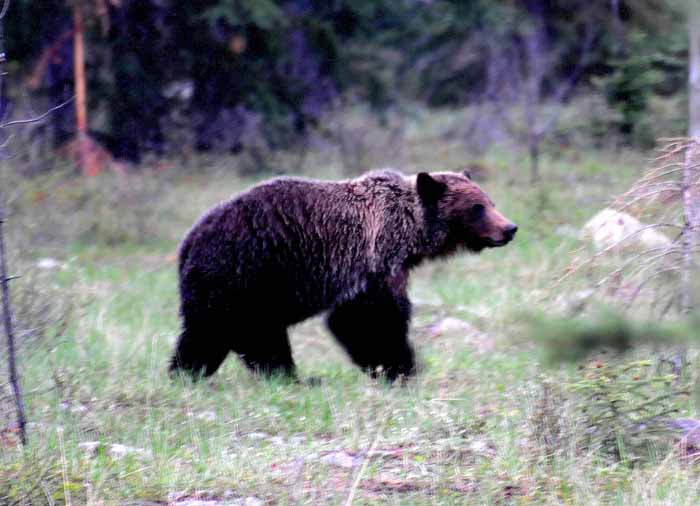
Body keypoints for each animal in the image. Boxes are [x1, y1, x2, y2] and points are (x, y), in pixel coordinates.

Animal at [170, 168, 516, 382]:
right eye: (477, 207)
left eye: (490, 202)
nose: (509, 228)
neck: (408, 234)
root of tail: (190, 239)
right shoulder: (369, 263)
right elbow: (370, 320)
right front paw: (400, 367)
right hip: (247, 273)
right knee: (241, 331)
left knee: (211, 333)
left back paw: (186, 372)